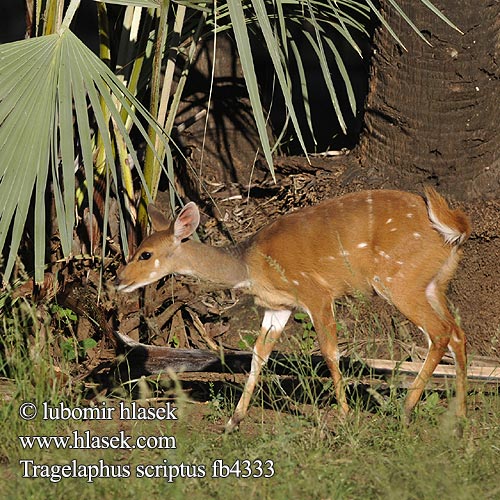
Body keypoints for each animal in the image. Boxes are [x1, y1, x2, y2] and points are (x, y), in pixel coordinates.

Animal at [116, 189, 468, 432]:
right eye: (137, 249)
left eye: (145, 254)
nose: (119, 279)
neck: (248, 265)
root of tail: (453, 230)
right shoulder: (278, 307)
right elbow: (258, 355)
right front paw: (233, 421)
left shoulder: (316, 294)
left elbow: (330, 352)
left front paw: (344, 417)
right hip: (433, 284)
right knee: (458, 334)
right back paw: (459, 420)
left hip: (399, 281)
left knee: (439, 333)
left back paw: (404, 411)